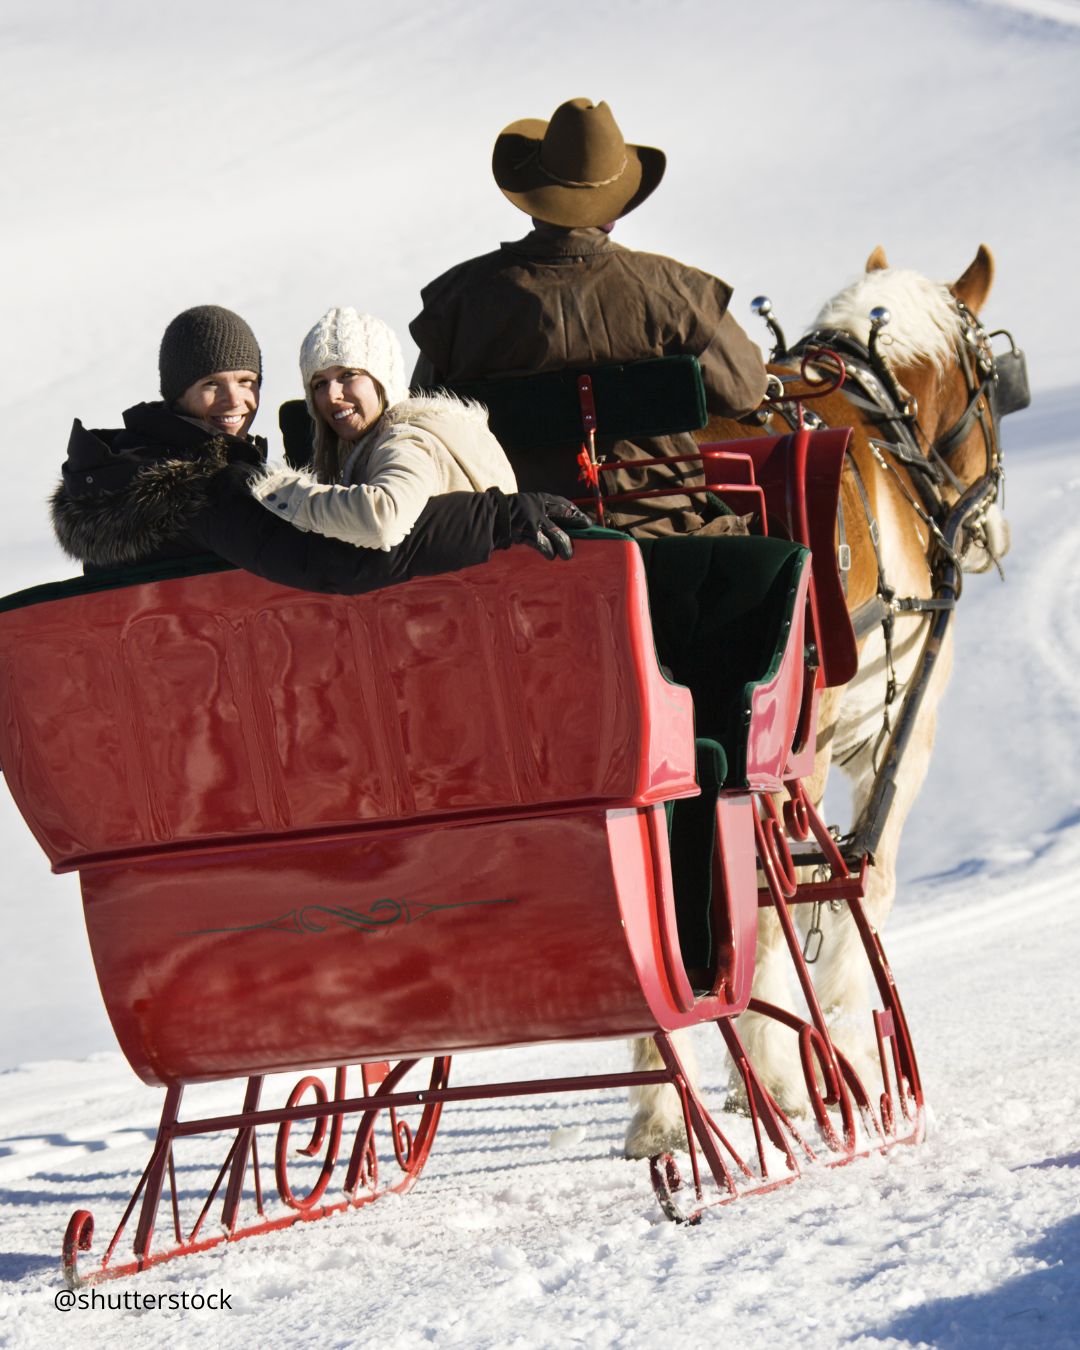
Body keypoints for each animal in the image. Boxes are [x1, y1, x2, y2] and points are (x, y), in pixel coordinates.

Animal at [623, 243, 1015, 1150]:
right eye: (993, 383)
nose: (993, 535)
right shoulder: (897, 733)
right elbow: (860, 881)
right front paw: (843, 1036)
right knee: (761, 903)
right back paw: (773, 1078)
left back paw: (662, 1107)